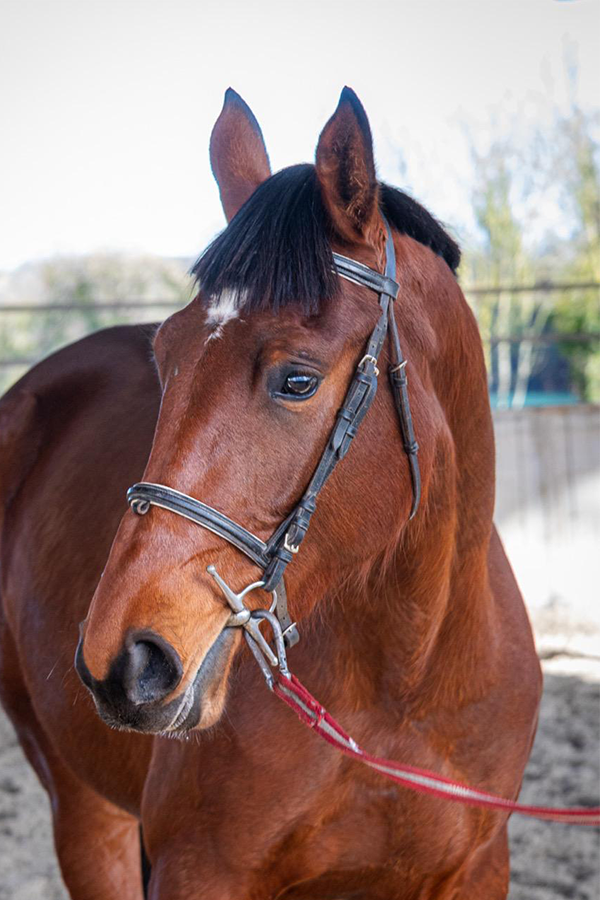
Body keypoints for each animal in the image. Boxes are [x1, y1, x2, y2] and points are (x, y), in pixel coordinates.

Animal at [0, 87, 542, 899]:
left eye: (298, 380)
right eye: (165, 357)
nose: (122, 660)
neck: (406, 684)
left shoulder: (479, 869)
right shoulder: (200, 869)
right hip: (82, 805)